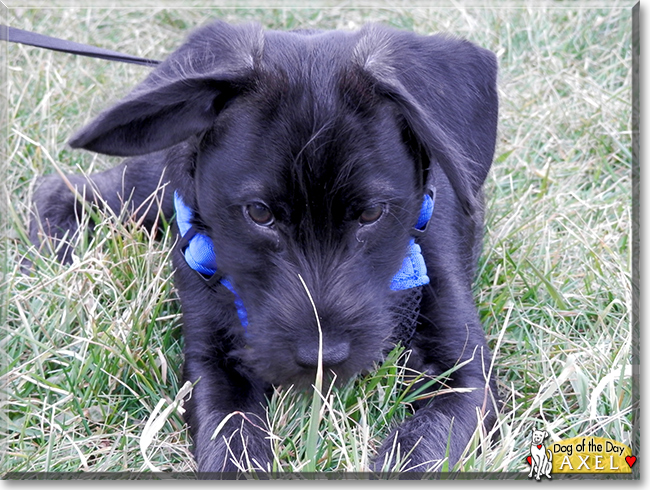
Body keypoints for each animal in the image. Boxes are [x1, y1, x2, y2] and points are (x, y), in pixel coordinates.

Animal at [29, 20, 496, 474]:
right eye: (258, 213)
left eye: (371, 214)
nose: (322, 357)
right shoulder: (210, 359)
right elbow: (229, 431)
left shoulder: (467, 373)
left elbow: (426, 442)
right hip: (149, 193)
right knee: (60, 188)